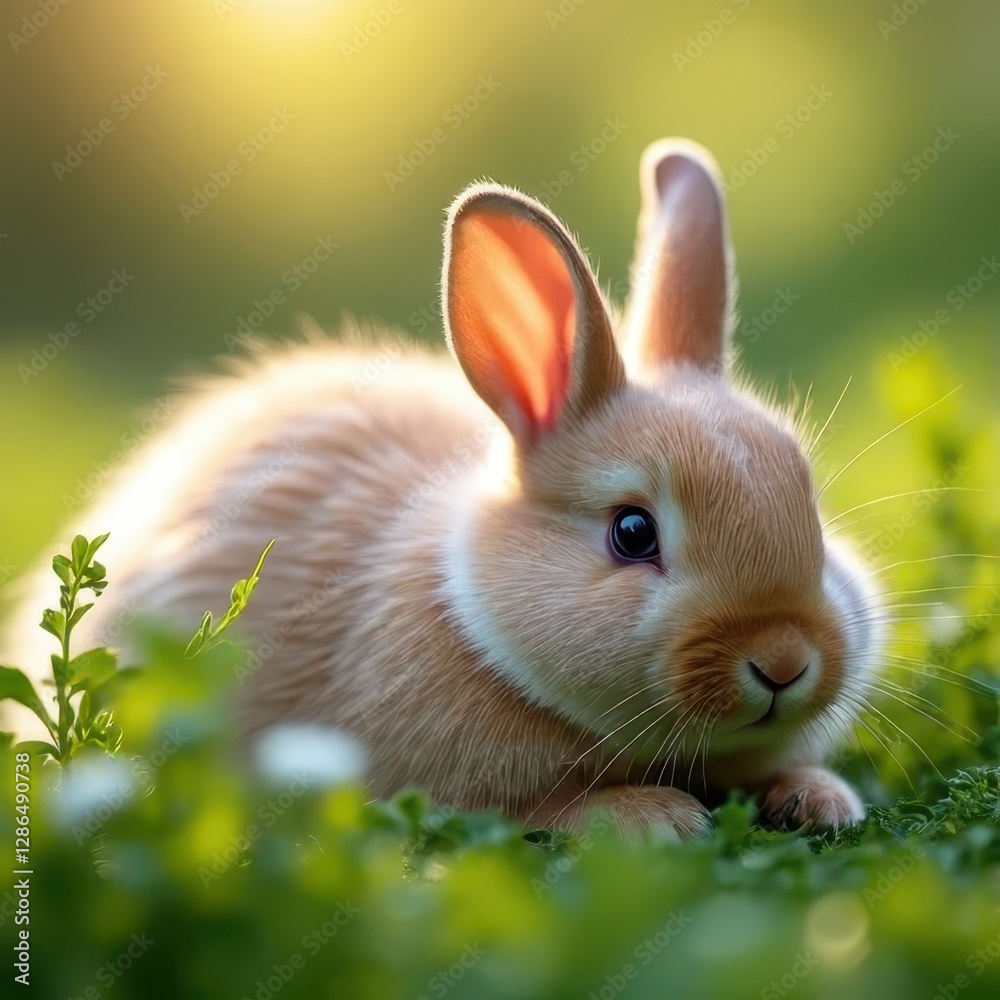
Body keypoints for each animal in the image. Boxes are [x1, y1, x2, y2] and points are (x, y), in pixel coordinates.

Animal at [5, 138, 882, 840]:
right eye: (633, 533)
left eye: (811, 507)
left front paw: (820, 798)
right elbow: (541, 810)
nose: (783, 660)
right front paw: (654, 814)